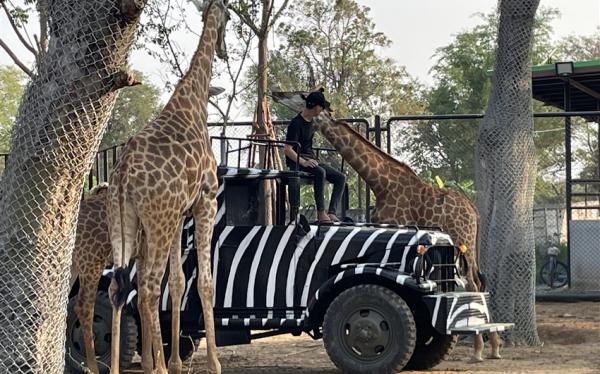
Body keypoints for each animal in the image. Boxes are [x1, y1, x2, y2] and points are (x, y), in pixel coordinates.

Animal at [106, 0, 229, 374]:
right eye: (228, 16)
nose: (223, 48)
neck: (194, 101)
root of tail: (122, 176)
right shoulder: (205, 202)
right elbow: (204, 282)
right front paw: (214, 364)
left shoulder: (179, 214)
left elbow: (176, 283)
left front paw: (175, 361)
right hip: (157, 221)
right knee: (146, 287)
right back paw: (156, 368)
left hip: (127, 222)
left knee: (119, 285)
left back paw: (128, 366)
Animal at [272, 90, 502, 362]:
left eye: (299, 96)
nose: (276, 93)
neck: (380, 183)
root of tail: (474, 211)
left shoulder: (394, 228)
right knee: (479, 282)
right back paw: (493, 347)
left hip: (462, 242)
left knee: (474, 284)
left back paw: (479, 350)